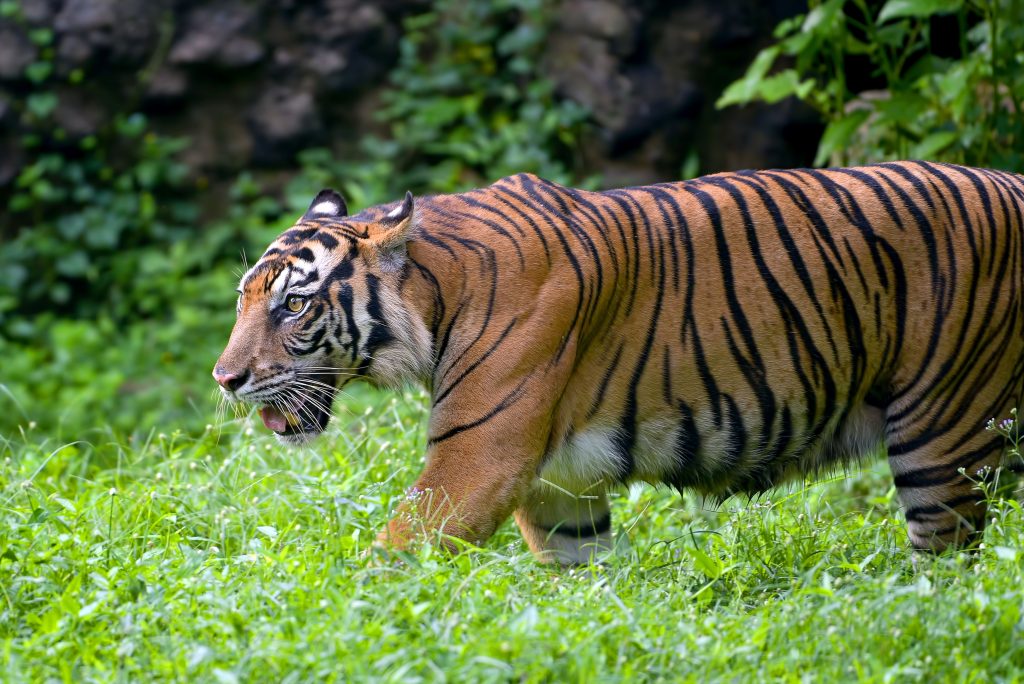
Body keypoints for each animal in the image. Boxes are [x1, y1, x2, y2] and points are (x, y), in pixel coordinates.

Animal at [214, 161, 1024, 564]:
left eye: (293, 306)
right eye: (243, 298)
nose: (225, 379)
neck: (436, 294)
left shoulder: (477, 462)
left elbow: (390, 559)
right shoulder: (560, 487)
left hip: (942, 435)